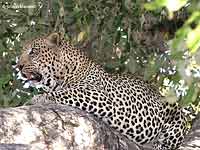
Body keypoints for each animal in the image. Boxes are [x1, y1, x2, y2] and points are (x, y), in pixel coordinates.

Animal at [17, 32, 189, 149]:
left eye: (33, 51)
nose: (18, 66)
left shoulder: (100, 95)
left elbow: (65, 93)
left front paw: (37, 98)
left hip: (174, 109)